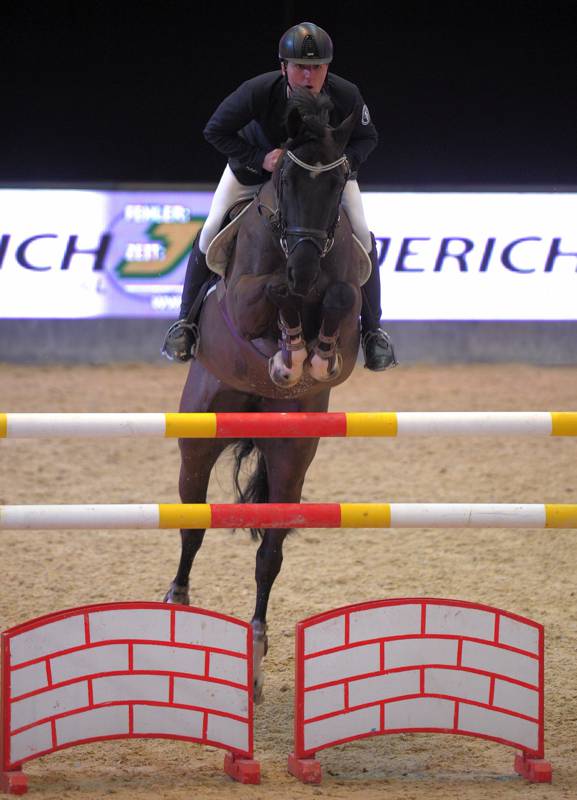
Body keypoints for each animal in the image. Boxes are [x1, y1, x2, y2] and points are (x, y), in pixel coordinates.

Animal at [164, 89, 366, 700]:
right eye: (286, 182)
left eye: (337, 181)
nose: (304, 264)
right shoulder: (245, 299)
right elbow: (273, 293)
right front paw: (290, 348)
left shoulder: (343, 301)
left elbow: (340, 297)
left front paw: (310, 354)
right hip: (198, 438)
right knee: (192, 525)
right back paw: (177, 602)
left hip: (291, 454)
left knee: (269, 553)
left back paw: (255, 646)